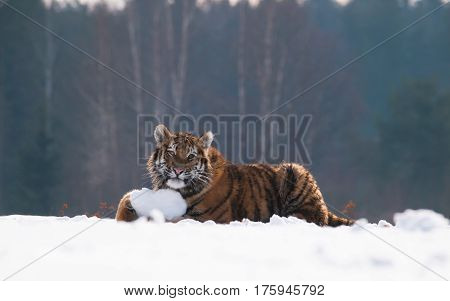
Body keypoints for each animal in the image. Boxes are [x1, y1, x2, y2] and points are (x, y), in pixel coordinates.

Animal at [116, 123, 356, 225]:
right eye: (172, 152)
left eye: (191, 156)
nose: (178, 170)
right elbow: (126, 198)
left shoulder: (207, 218)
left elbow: (173, 221)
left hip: (295, 171)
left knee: (311, 218)